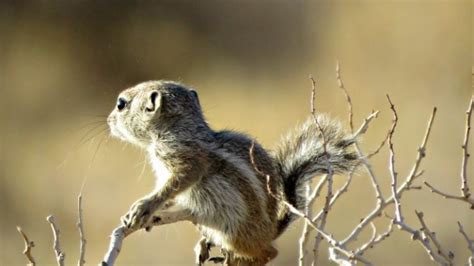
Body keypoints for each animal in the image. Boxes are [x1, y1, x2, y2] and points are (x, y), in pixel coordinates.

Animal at [108, 80, 360, 264]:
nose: (109, 120)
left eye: (121, 103)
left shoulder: (185, 162)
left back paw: (241, 260)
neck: (177, 129)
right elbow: (168, 195)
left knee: (269, 253)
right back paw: (206, 245)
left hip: (235, 234)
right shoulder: (164, 172)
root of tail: (271, 231)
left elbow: (171, 188)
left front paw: (144, 207)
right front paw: (150, 213)